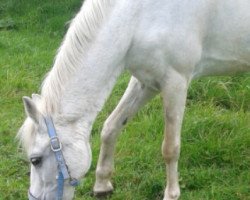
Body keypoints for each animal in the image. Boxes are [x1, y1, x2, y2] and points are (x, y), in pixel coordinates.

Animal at [18, 0, 250, 199]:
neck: (139, 16)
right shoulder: (146, 82)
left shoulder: (176, 83)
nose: (33, 198)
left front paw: (171, 194)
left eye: (35, 160)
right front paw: (102, 185)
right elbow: (111, 127)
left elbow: (170, 148)